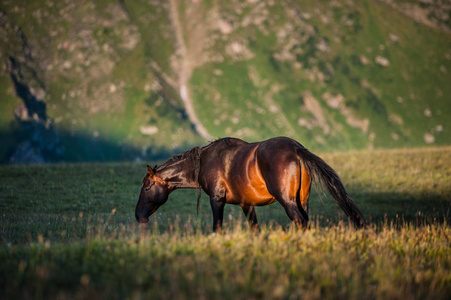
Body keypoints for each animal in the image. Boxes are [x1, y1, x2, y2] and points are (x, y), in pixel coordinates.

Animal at [135, 137, 368, 232]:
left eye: (146, 188)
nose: (138, 216)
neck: (205, 161)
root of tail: (296, 148)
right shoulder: (246, 205)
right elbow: (255, 229)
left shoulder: (217, 200)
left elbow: (217, 228)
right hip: (302, 201)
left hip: (288, 202)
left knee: (300, 223)